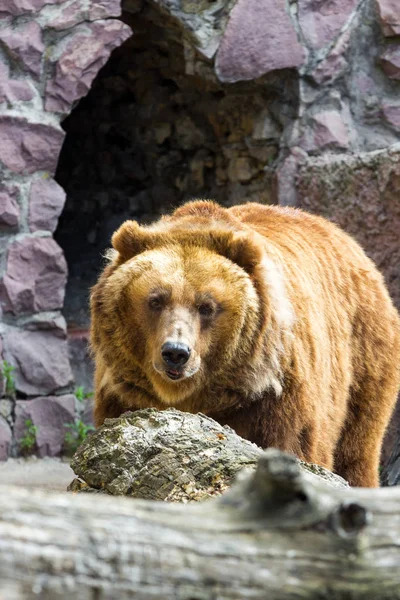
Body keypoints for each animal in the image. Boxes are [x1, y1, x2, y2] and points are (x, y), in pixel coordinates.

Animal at [90, 202, 400, 488]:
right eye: (155, 300)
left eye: (206, 306)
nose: (176, 353)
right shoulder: (125, 393)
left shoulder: (276, 395)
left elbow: (294, 444)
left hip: (364, 354)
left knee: (357, 445)